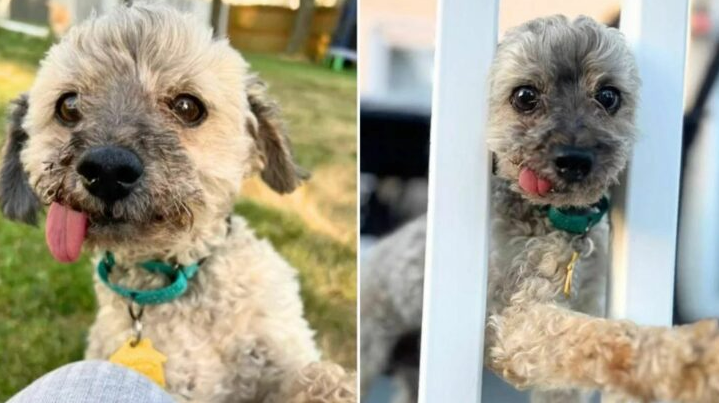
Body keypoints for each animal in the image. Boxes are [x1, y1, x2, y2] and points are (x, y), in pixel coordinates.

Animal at [2, 3, 358, 403]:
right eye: (68, 105)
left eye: (188, 106)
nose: (107, 169)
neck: (175, 280)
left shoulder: (280, 347)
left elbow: (307, 374)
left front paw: (337, 386)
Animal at [360, 14, 719, 402]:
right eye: (525, 96)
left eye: (608, 96)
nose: (575, 160)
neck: (557, 223)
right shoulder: (512, 322)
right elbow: (595, 335)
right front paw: (685, 355)